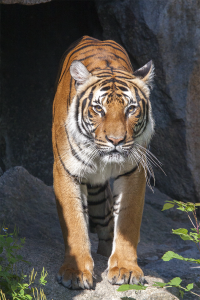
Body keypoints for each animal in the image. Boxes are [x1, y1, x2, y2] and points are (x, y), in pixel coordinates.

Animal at [51, 35, 155, 290]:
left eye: (131, 109)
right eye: (98, 108)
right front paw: (75, 273)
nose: (116, 141)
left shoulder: (134, 171)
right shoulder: (65, 171)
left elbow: (127, 219)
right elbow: (74, 222)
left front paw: (125, 268)